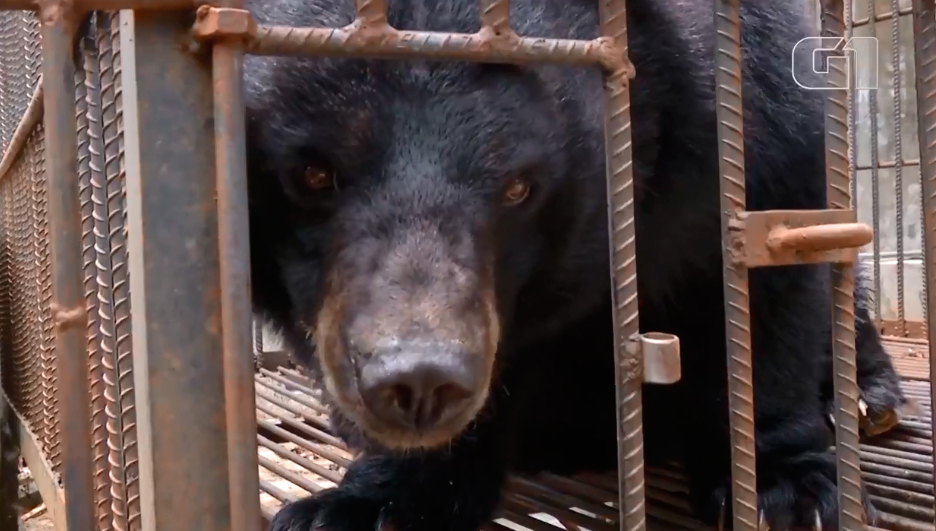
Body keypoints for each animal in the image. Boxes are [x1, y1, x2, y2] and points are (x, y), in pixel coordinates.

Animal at [239, 0, 908, 528]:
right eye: (312, 173)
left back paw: (867, 399)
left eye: (518, 187)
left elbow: (769, 270)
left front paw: (788, 493)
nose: (420, 379)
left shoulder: (748, 101)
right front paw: (367, 504)